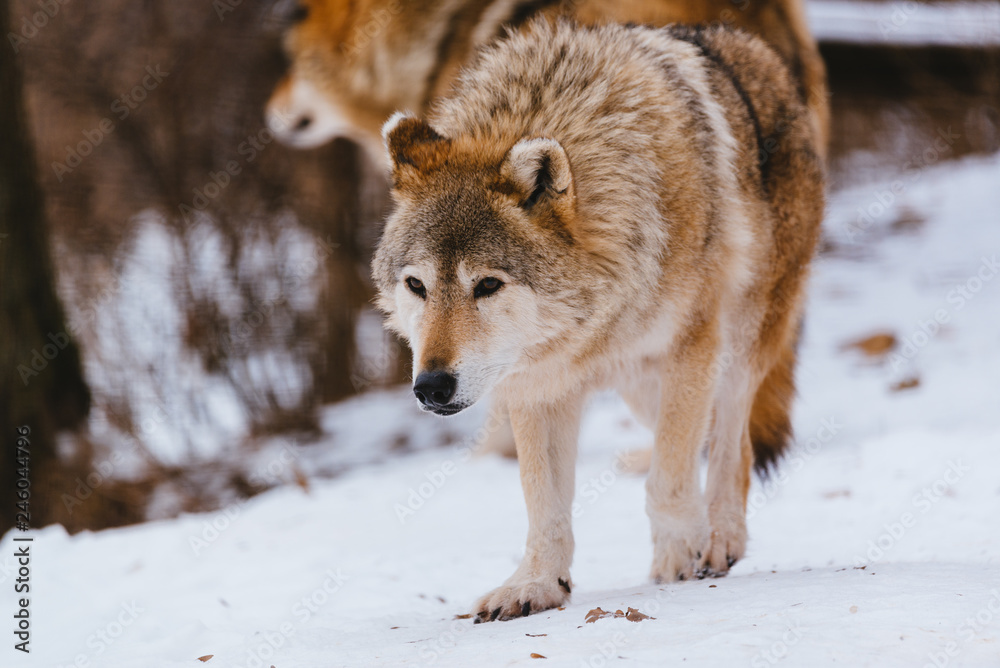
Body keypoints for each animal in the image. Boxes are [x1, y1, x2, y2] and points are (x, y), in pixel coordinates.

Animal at [373, 18, 824, 621]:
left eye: (487, 284)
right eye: (417, 286)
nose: (431, 387)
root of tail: (750, 45)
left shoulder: (691, 349)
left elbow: (669, 480)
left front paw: (679, 558)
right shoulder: (537, 383)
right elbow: (543, 502)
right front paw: (537, 585)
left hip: (737, 345)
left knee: (733, 440)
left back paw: (720, 538)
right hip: (644, 390)